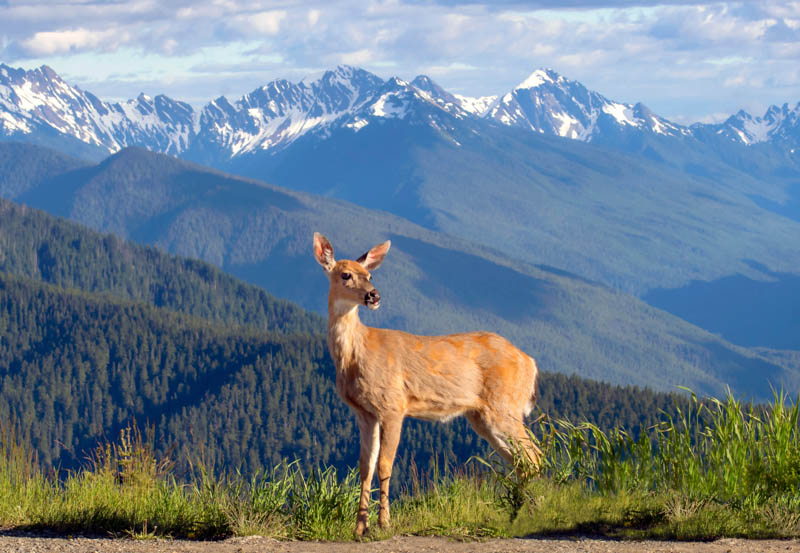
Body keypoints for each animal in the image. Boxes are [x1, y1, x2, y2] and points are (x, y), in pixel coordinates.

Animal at [312, 233, 544, 536]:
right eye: (346, 274)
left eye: (370, 274)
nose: (374, 295)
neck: (356, 355)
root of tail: (530, 362)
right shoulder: (364, 413)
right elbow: (365, 466)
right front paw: (359, 528)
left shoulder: (394, 405)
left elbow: (384, 465)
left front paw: (384, 523)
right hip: (483, 417)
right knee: (521, 462)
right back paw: (517, 515)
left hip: (504, 406)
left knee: (534, 457)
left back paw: (531, 513)